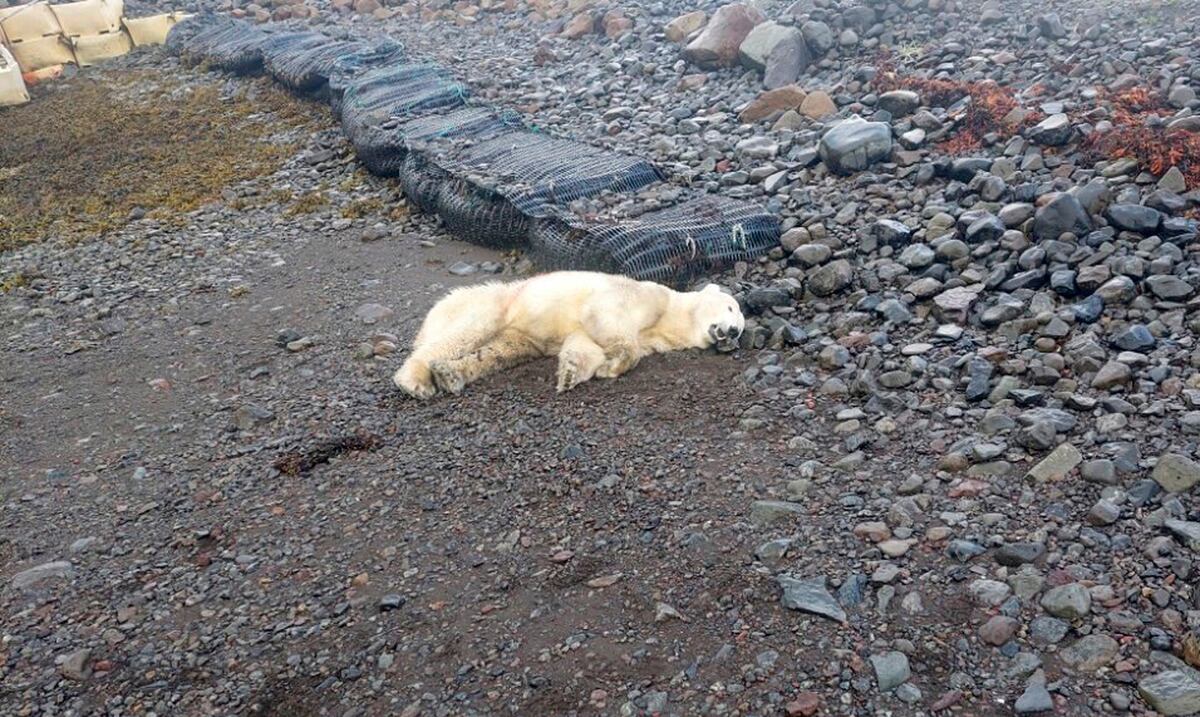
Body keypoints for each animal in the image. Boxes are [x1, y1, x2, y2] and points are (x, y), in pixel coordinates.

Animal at [393, 271, 745, 399]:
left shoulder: (651, 336)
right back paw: (415, 381)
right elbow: (606, 317)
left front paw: (572, 373)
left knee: (498, 353)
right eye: (731, 308)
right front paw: (614, 364)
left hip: (518, 335)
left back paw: (449, 375)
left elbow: (584, 343)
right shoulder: (643, 295)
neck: (671, 316)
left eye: (741, 328)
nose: (733, 332)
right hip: (494, 304)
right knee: (465, 333)